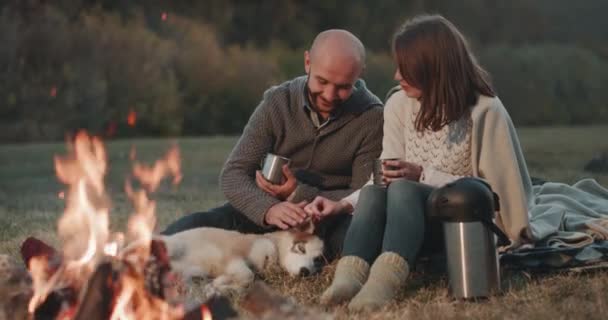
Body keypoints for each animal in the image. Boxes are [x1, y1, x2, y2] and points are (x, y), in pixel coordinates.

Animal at [159, 222, 326, 292]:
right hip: (172, 246)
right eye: (301, 248)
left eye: (317, 260)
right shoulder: (234, 258)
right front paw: (217, 286)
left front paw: (217, 287)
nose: (305, 271)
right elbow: (248, 275)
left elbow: (243, 284)